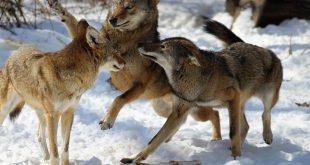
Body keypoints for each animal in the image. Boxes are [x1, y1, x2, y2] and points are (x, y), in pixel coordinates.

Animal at [0, 19, 124, 165]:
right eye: (115, 51)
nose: (125, 63)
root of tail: (16, 53)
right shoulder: (53, 116)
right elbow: (55, 152)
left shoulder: (68, 113)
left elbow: (65, 148)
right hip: (8, 110)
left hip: (42, 114)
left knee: (39, 135)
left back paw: (45, 160)